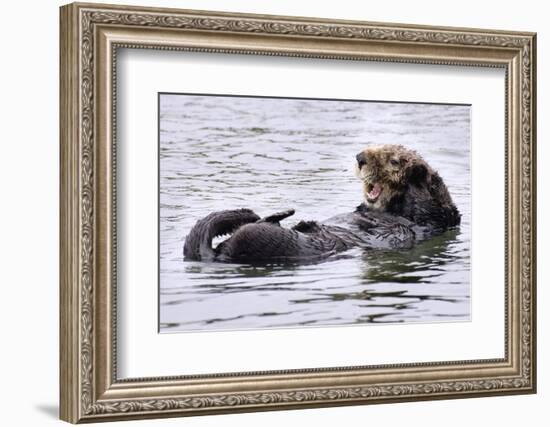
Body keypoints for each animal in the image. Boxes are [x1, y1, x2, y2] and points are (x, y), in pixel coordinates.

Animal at [184, 145, 462, 262]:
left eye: (391, 159)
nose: (360, 157)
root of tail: (218, 255)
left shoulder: (431, 220)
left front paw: (416, 171)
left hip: (268, 242)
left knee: (255, 230)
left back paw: (282, 216)